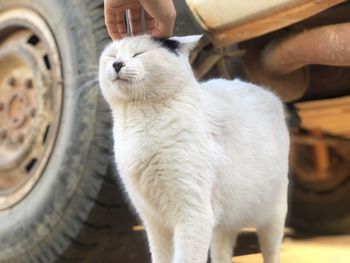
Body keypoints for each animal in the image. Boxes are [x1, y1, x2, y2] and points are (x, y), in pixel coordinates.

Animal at [99, 35, 290, 263]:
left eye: (139, 53)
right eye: (112, 55)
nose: (117, 64)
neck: (140, 121)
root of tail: (267, 92)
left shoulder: (193, 214)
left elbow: (186, 258)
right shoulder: (154, 222)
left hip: (273, 215)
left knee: (271, 251)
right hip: (223, 224)